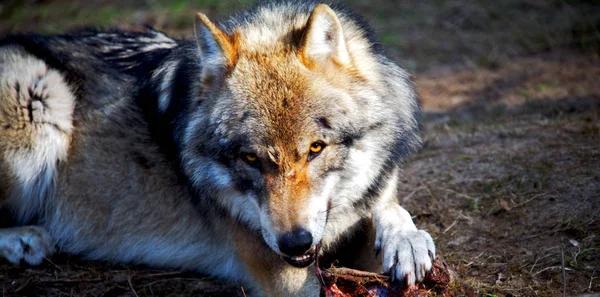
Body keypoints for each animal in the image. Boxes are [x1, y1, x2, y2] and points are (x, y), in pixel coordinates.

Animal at [0, 1, 434, 294]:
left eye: (315, 148)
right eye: (250, 159)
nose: (294, 243)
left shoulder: (368, 199)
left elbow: (389, 208)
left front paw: (407, 240)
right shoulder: (279, 271)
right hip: (39, 95)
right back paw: (25, 239)